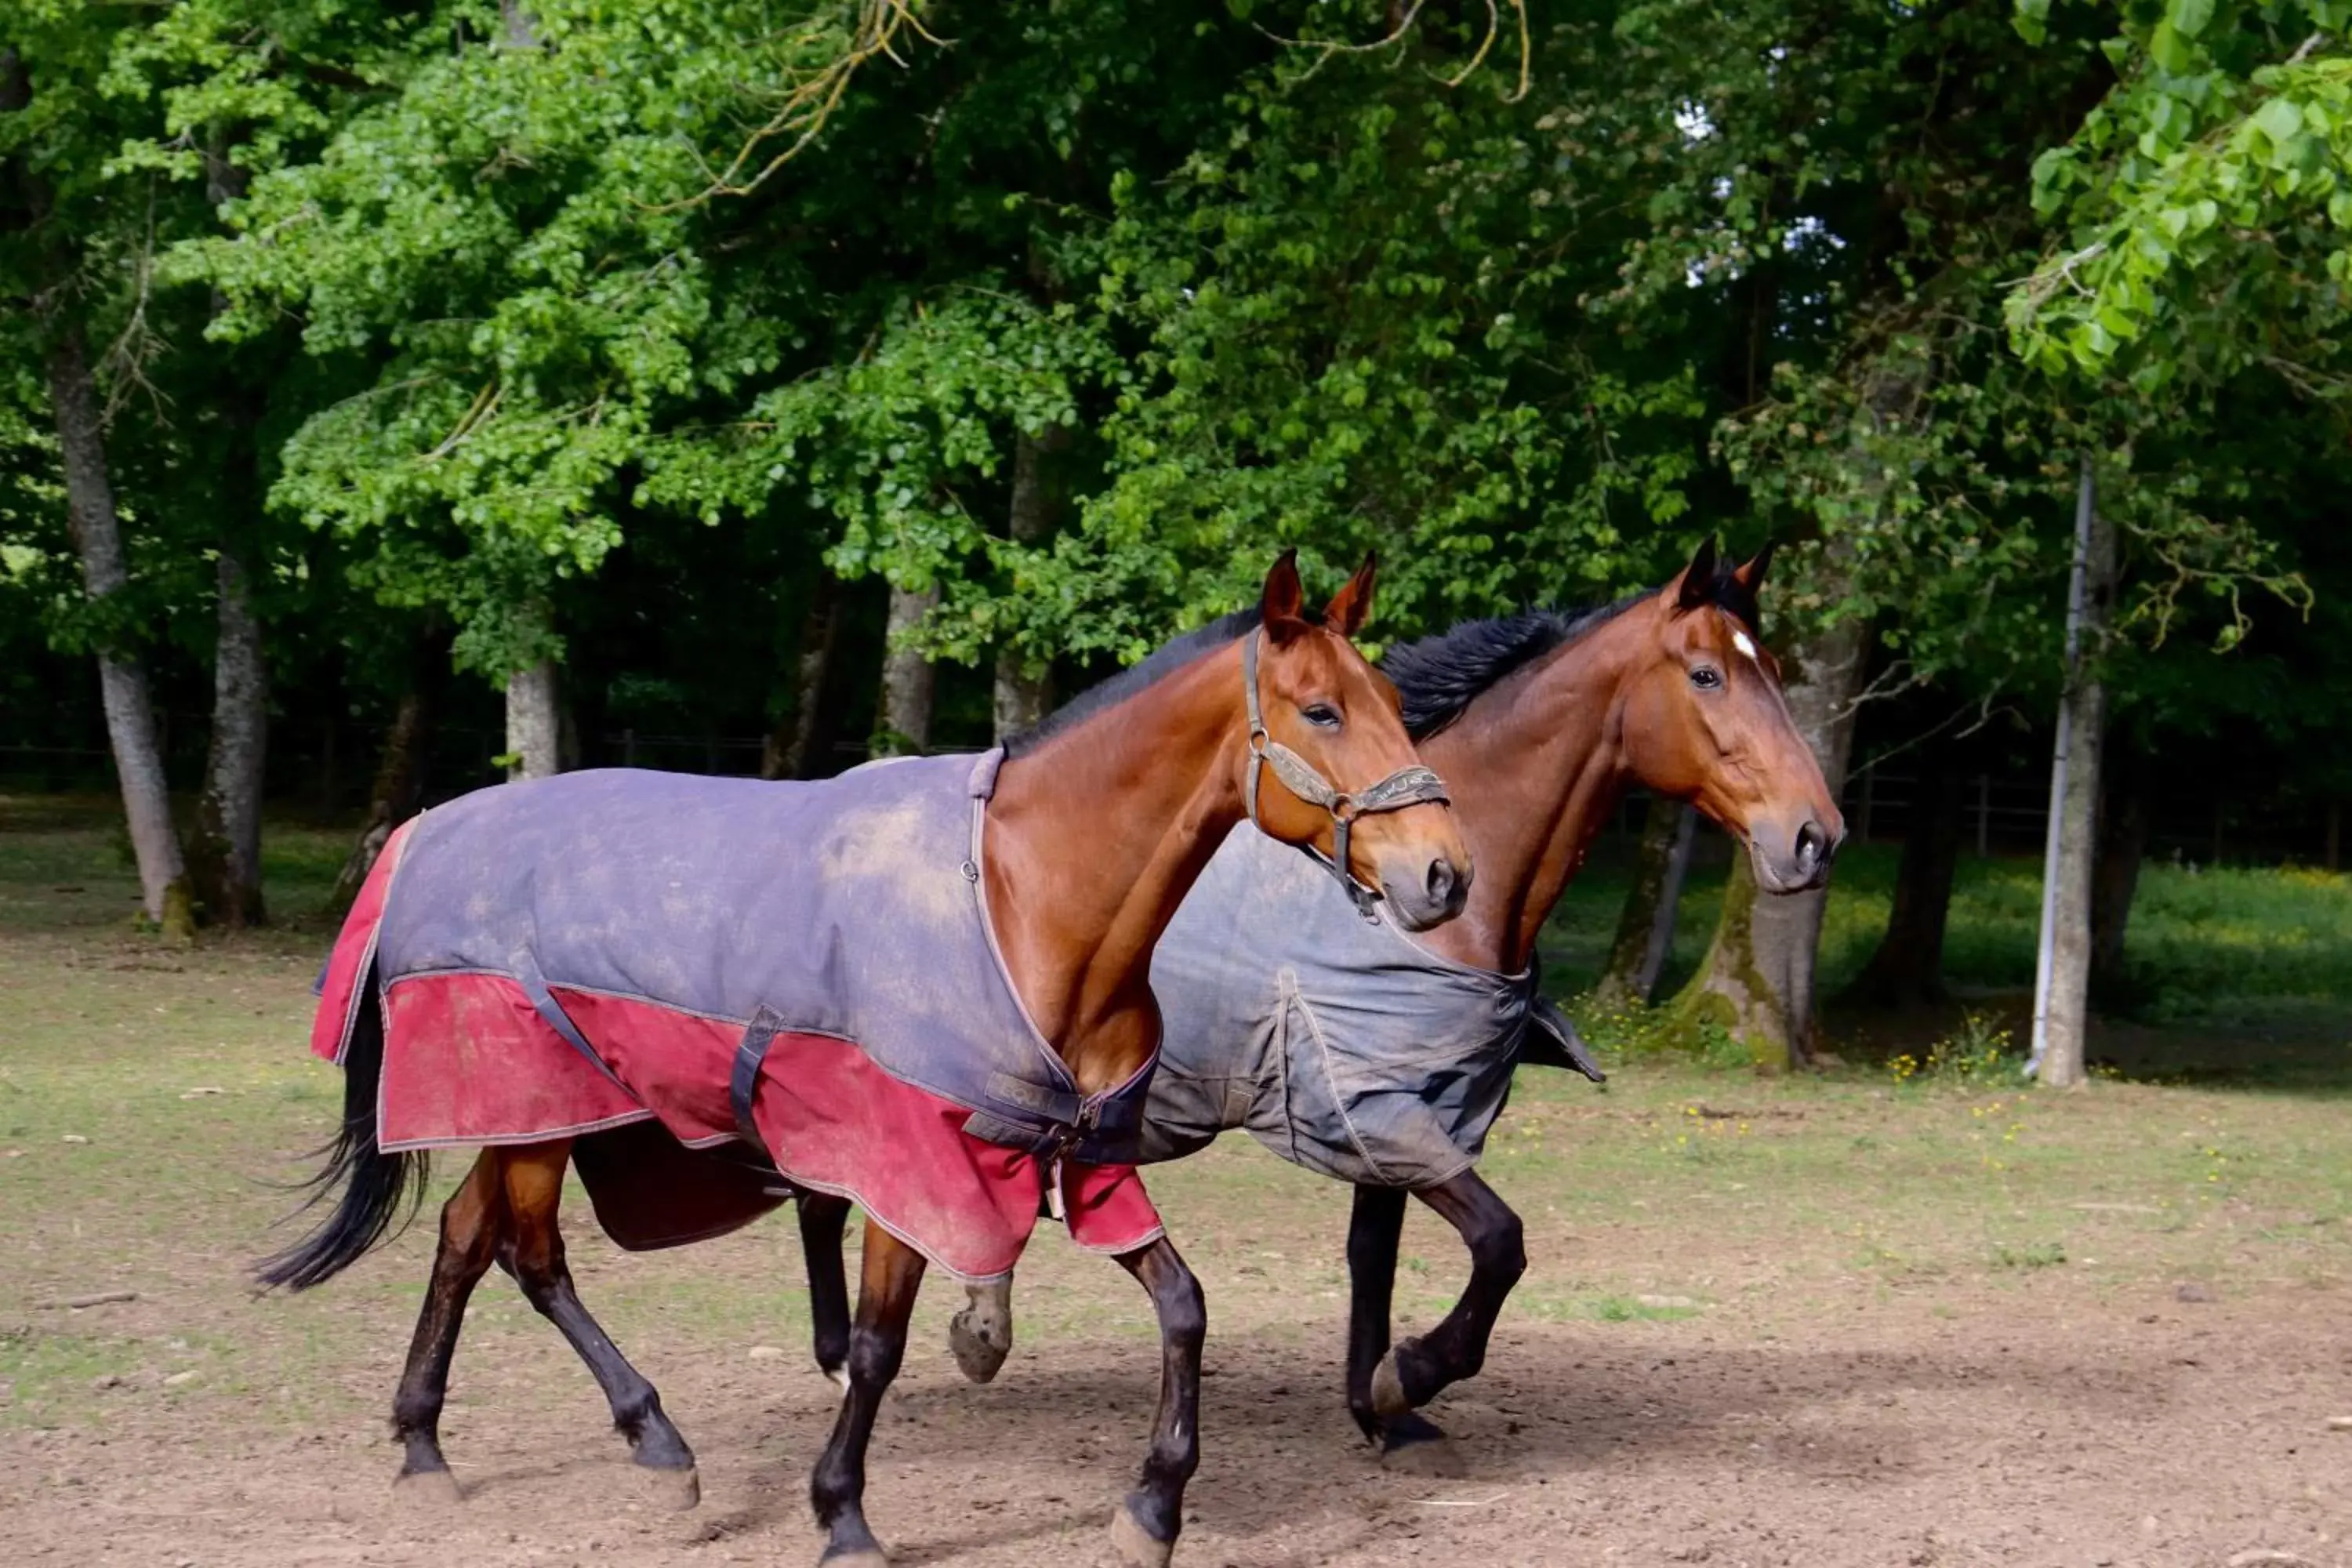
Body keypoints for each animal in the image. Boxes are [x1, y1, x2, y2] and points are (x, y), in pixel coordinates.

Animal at [262, 552, 1468, 1568]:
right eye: (1322, 710)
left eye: (1392, 699)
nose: (1443, 875)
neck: (1028, 900)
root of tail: (424, 832)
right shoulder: (912, 1161)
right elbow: (880, 1343)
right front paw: (843, 1514)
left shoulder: (1090, 1158)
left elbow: (1184, 1305)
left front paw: (1154, 1505)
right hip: (534, 1105)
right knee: (530, 1254)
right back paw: (657, 1445)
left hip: (539, 1115)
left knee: (468, 1240)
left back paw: (426, 1444)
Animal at [800, 535, 1844, 1448]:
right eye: (1707, 675)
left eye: (1771, 667)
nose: (1815, 836)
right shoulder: (1379, 1110)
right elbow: (1500, 1241)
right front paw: (1410, 1373)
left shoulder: (1409, 1113)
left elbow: (1374, 1255)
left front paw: (1379, 1406)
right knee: (828, 1194)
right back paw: (855, 1354)